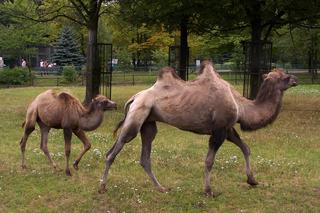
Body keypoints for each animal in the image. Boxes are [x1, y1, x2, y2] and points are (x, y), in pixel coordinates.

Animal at [97, 60, 298, 196]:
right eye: (285, 77)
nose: (296, 79)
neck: (240, 106)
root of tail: (133, 98)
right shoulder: (219, 130)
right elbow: (209, 161)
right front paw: (208, 190)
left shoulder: (227, 129)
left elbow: (246, 148)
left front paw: (252, 180)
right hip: (137, 115)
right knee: (112, 151)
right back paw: (102, 187)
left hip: (148, 123)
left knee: (145, 157)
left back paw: (161, 188)